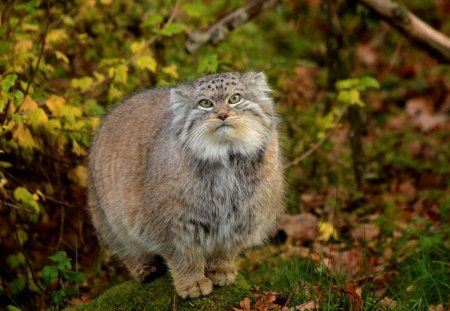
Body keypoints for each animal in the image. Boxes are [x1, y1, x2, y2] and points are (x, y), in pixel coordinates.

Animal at [87, 72, 284, 298]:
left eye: (235, 98)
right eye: (205, 103)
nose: (222, 115)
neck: (226, 158)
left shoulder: (242, 219)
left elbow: (225, 251)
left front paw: (221, 269)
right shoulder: (173, 224)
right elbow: (185, 257)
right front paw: (192, 283)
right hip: (110, 222)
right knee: (126, 250)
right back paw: (144, 269)